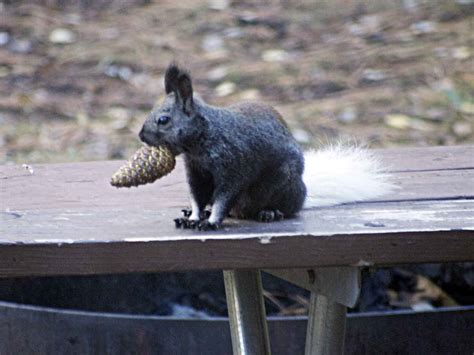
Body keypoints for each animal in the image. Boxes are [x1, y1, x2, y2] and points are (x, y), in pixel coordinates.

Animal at [138, 63, 392, 231]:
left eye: (163, 120)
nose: (141, 136)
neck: (200, 144)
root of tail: (303, 193)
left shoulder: (233, 165)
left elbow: (223, 196)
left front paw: (210, 221)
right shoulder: (196, 173)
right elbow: (198, 198)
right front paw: (194, 217)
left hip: (283, 183)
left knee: (288, 208)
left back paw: (271, 211)